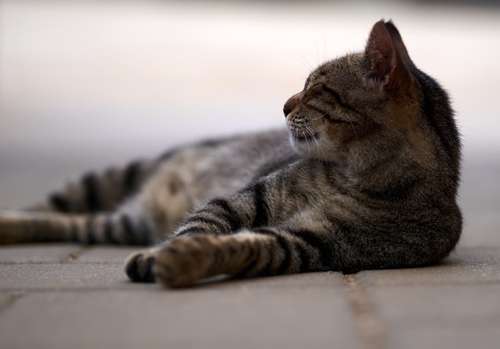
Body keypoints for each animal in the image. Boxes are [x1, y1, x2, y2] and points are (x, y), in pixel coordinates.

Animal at [0, 22, 460, 288]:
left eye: (316, 89)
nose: (284, 106)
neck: (354, 176)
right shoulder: (245, 198)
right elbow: (200, 224)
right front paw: (164, 254)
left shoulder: (312, 243)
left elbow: (244, 246)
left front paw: (187, 261)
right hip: (120, 175)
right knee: (48, 206)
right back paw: (9, 221)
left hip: (125, 223)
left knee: (75, 222)